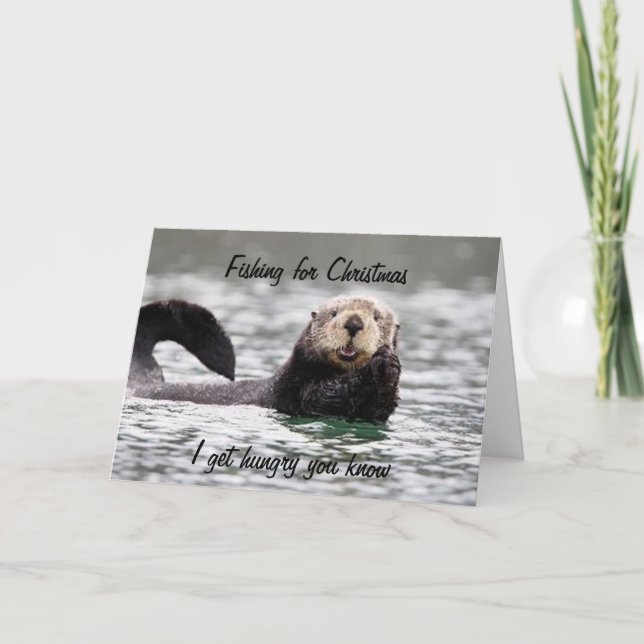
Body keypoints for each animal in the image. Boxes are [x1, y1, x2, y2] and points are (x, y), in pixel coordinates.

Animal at [128, 296, 401, 423]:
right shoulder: (299, 384)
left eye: (376, 317)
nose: (354, 323)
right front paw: (373, 368)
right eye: (334, 313)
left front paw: (388, 364)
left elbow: (379, 408)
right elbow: (325, 395)